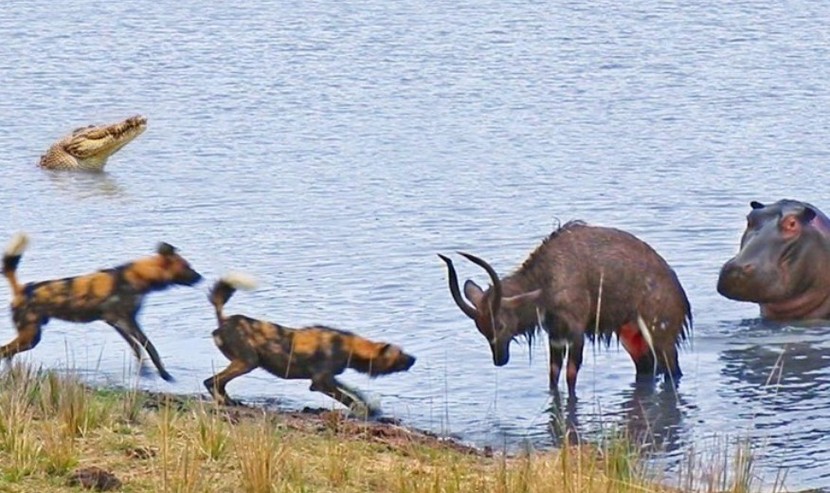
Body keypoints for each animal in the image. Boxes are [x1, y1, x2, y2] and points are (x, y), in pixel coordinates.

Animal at [2, 232, 204, 380]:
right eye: (187, 267)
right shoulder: (125, 320)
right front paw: (165, 375)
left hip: (30, 337)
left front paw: (145, 373)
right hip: (30, 337)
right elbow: (149, 347)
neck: (137, 277)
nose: (201, 277)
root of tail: (22, 289)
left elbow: (137, 349)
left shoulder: (118, 322)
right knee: (4, 351)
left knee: (7, 353)